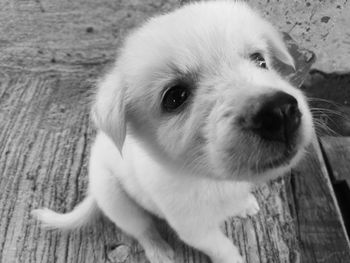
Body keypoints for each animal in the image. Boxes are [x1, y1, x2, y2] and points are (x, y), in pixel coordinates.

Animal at [31, 1, 314, 262]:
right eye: (175, 97)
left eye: (259, 60)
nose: (280, 112)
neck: (209, 179)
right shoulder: (195, 230)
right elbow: (224, 248)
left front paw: (244, 204)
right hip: (118, 201)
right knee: (142, 230)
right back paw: (159, 251)